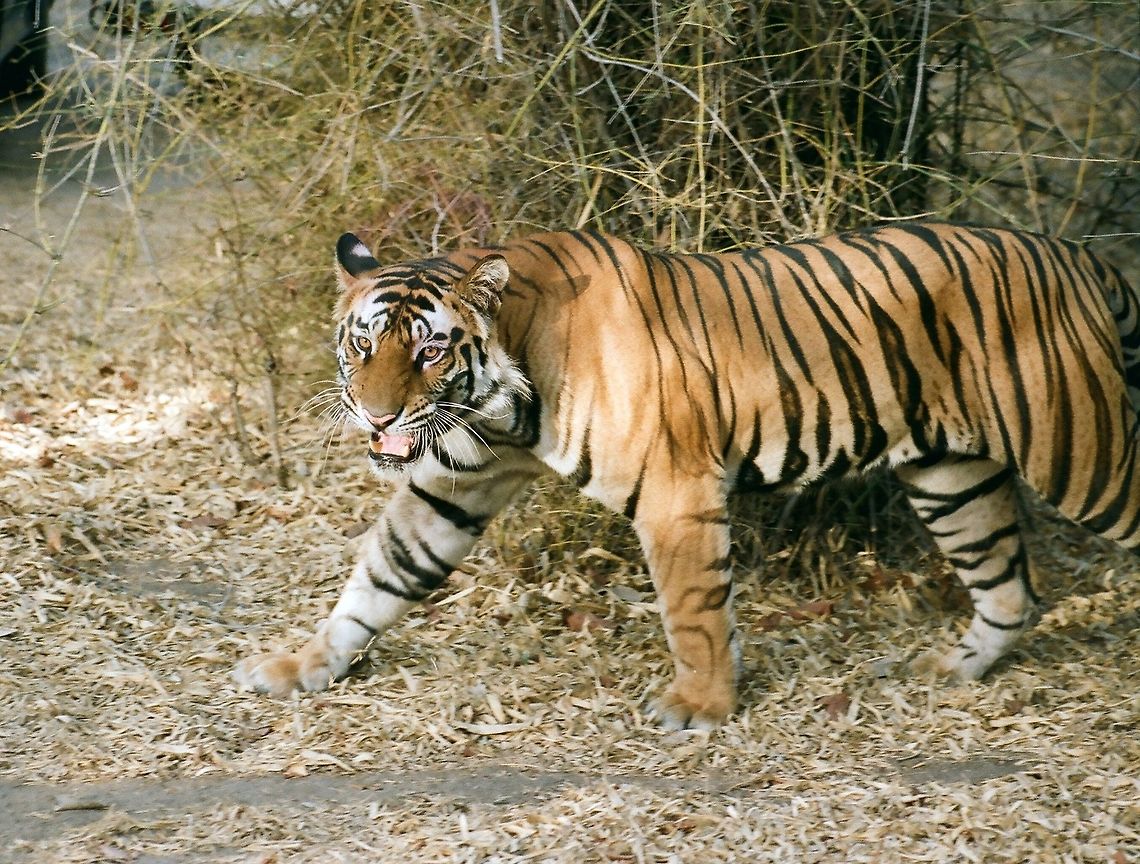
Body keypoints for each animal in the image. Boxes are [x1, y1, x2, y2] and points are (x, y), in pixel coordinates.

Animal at [234, 222, 1140, 730]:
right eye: (362, 343)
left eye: (427, 351)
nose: (376, 416)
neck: (500, 396)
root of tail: (1080, 254)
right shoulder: (452, 487)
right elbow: (379, 577)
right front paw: (299, 666)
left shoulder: (675, 493)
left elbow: (694, 611)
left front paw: (698, 709)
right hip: (952, 473)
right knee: (1009, 588)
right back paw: (954, 669)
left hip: (1081, 453)